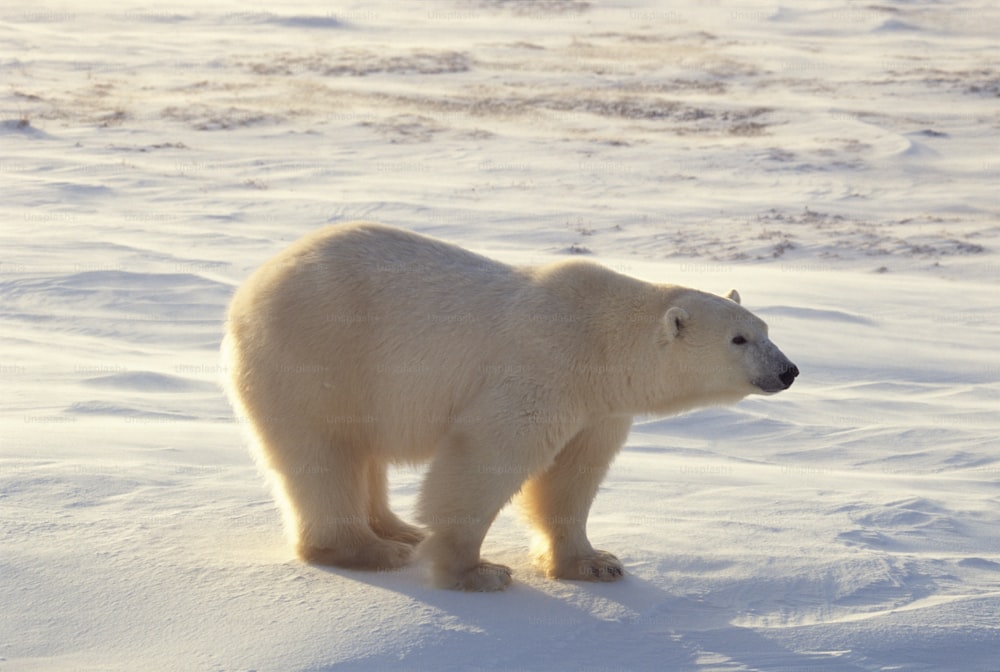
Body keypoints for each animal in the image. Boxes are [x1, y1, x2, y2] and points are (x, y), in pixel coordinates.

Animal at [223, 223, 800, 592]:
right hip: (318, 356)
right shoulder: (541, 370)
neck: (600, 340)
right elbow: (486, 460)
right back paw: (370, 550)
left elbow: (573, 476)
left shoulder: (598, 407)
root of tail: (251, 286)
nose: (789, 370)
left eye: (766, 329)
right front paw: (477, 572)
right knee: (323, 452)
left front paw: (595, 563)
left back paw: (397, 530)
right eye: (739, 339)